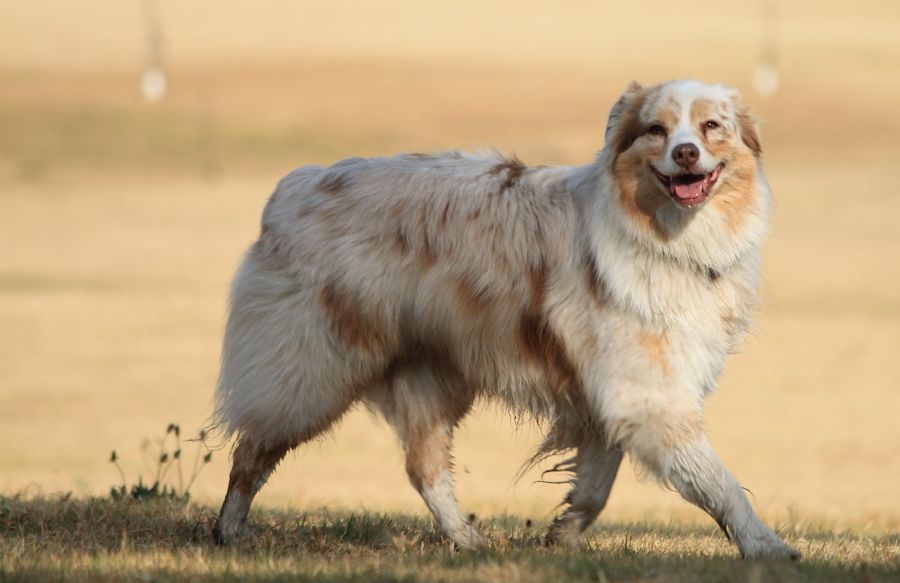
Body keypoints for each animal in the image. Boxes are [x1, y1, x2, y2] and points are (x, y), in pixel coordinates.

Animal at [213, 80, 800, 560]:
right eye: (656, 129)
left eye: (711, 126)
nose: (685, 152)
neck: (668, 237)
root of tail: (296, 185)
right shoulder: (650, 395)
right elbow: (717, 481)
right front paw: (764, 546)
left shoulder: (615, 395)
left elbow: (596, 485)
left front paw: (561, 537)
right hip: (311, 369)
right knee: (252, 450)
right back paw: (228, 530)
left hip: (431, 374)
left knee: (424, 468)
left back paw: (468, 541)